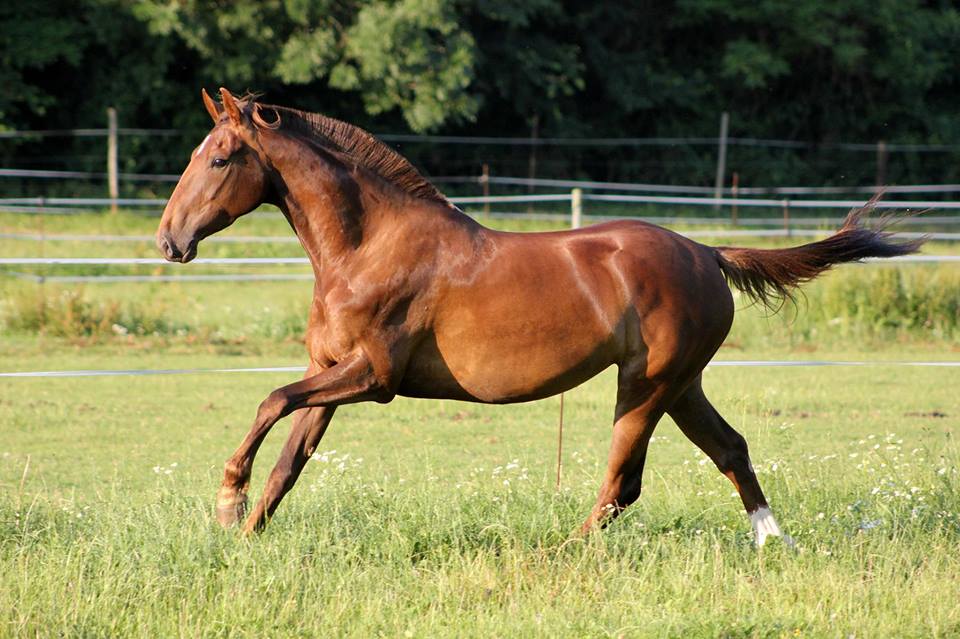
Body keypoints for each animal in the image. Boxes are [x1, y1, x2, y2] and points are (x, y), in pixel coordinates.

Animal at [156, 88, 922, 544]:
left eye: (220, 158)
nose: (170, 241)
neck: (369, 244)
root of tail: (706, 251)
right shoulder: (332, 372)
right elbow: (290, 457)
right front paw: (246, 535)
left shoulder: (372, 375)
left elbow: (270, 399)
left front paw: (226, 503)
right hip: (681, 386)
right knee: (728, 449)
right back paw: (771, 542)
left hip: (645, 387)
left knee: (622, 482)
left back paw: (565, 551)